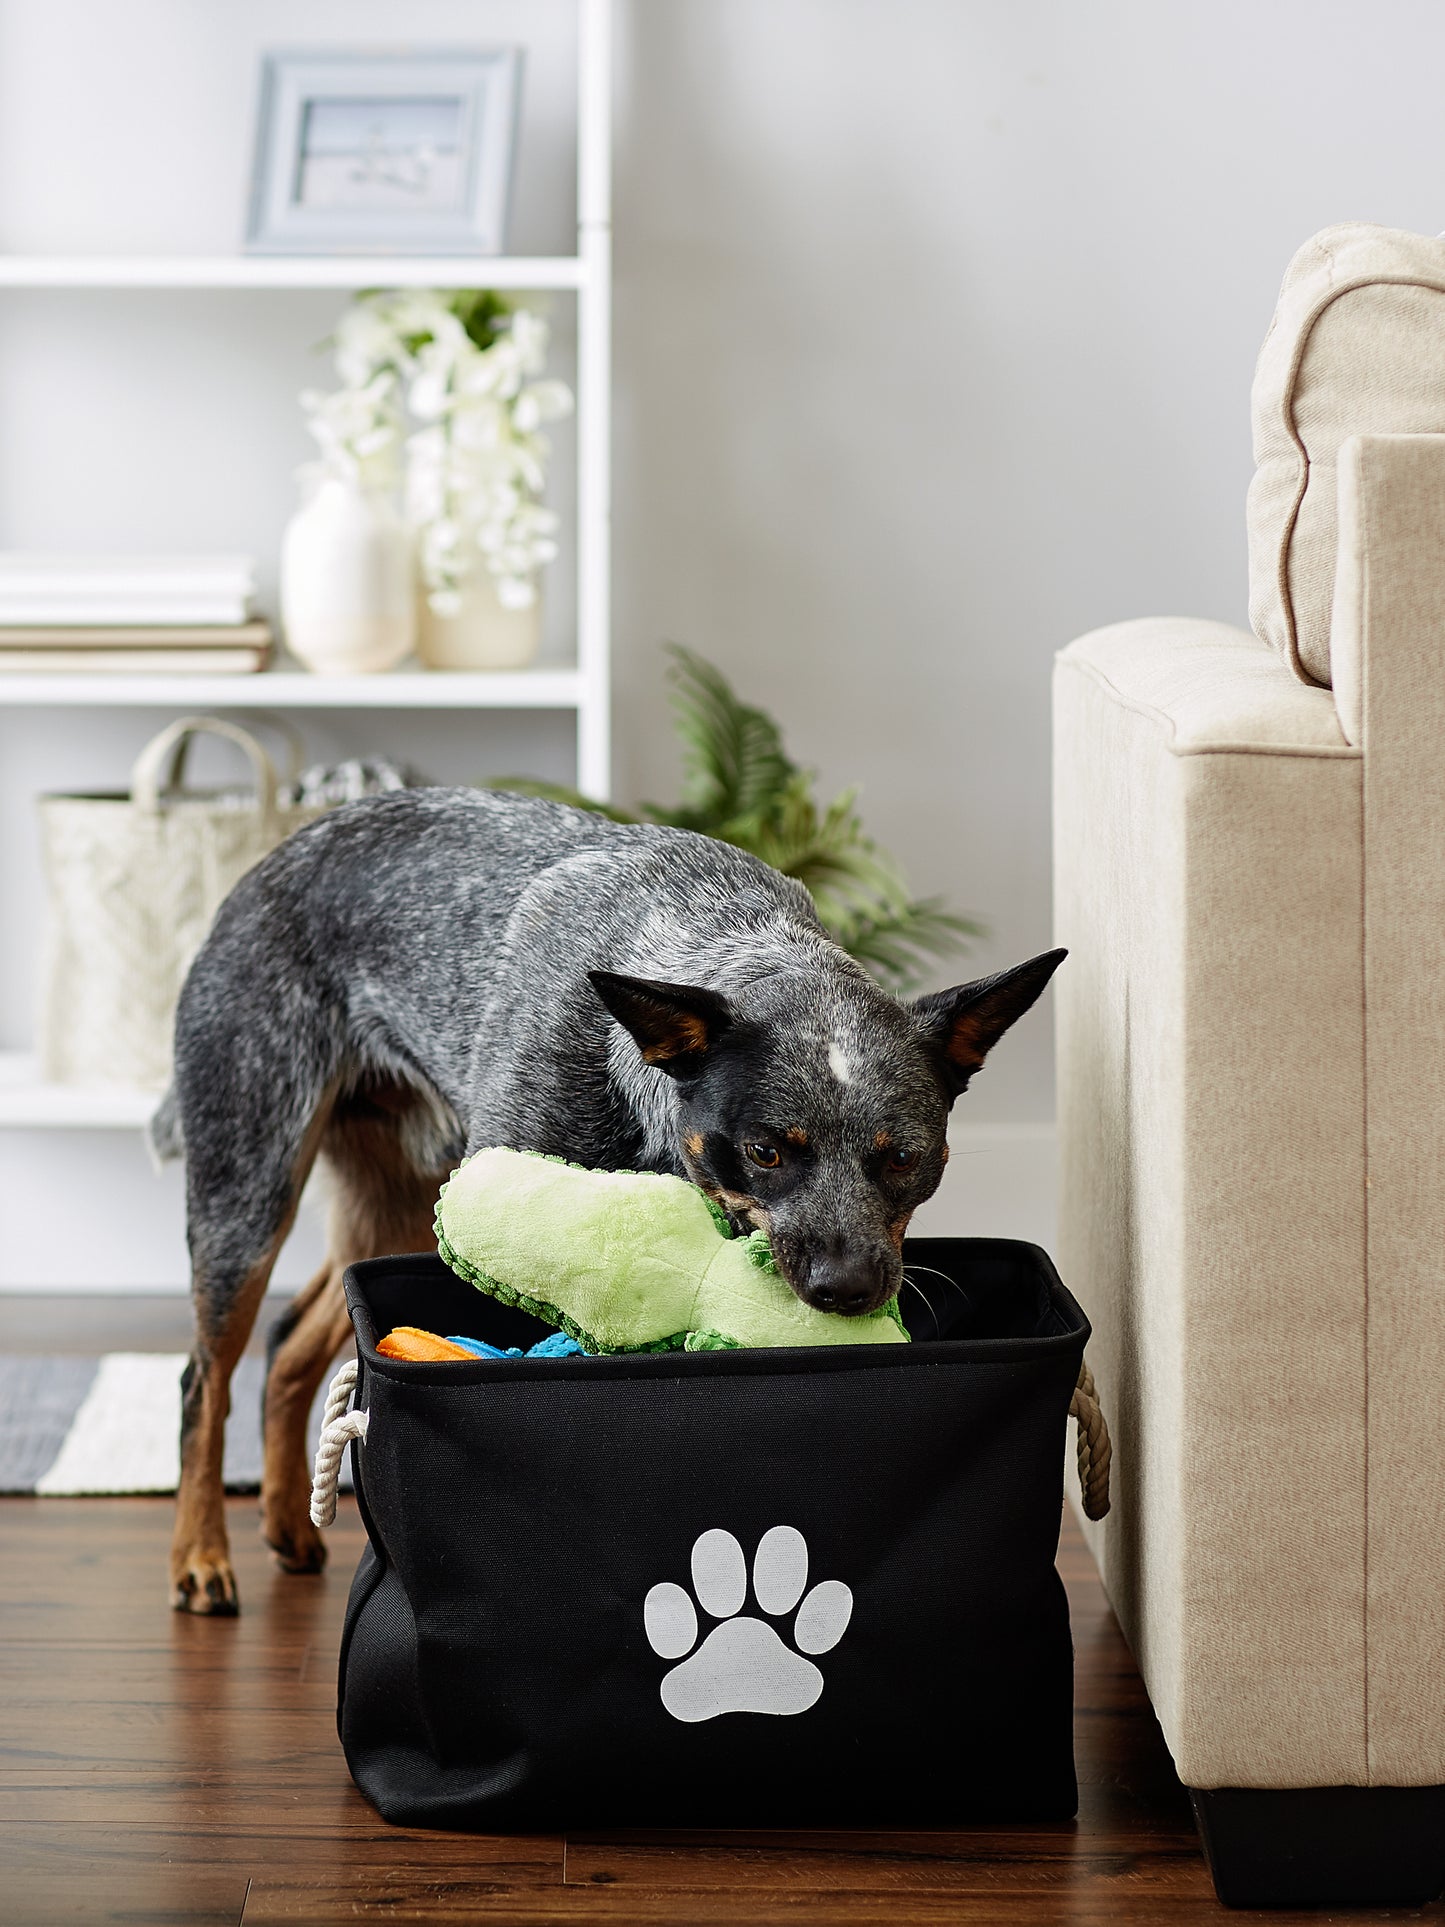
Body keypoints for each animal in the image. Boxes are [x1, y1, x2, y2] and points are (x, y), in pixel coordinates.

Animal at [156, 782, 1063, 1610]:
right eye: (766, 1151)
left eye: (905, 1157)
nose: (844, 1290)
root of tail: (266, 863)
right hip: (253, 1181)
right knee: (204, 1376)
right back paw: (199, 1556)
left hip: (396, 1199)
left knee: (289, 1338)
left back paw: (287, 1524)